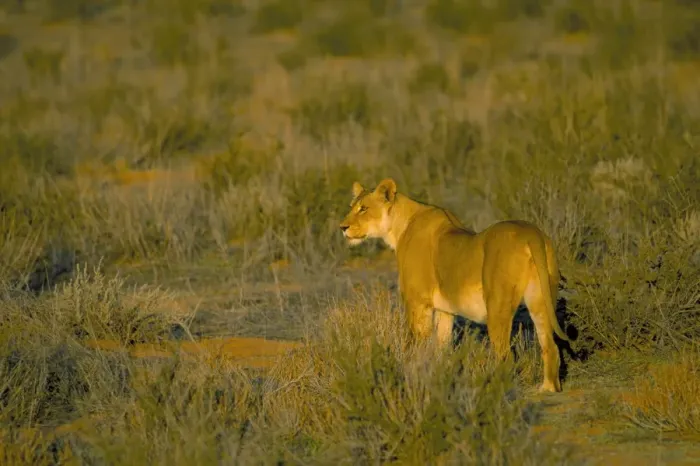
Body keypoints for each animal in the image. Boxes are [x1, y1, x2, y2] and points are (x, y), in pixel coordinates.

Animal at [339, 178, 571, 392]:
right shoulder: (445, 311)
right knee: (550, 347)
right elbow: (441, 347)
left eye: (363, 208)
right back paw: (548, 390)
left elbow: (417, 346)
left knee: (505, 355)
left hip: (497, 305)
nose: (342, 227)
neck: (398, 227)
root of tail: (531, 233)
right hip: (540, 299)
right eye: (351, 206)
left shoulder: (417, 303)